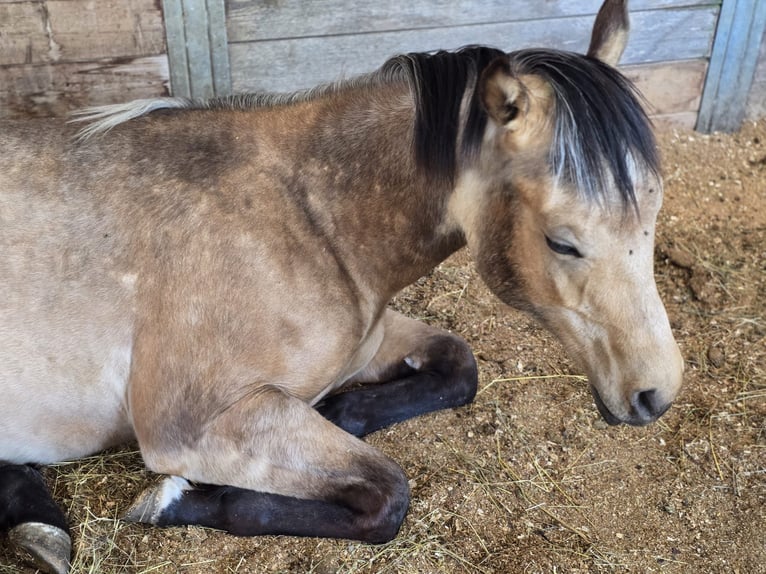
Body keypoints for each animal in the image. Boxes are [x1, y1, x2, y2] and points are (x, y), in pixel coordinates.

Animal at [0, 1, 684, 572]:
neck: (307, 218)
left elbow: (459, 366)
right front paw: (176, 499)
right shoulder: (193, 428)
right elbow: (386, 496)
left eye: (654, 209)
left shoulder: (369, 340)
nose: (656, 393)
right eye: (562, 241)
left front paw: (341, 412)